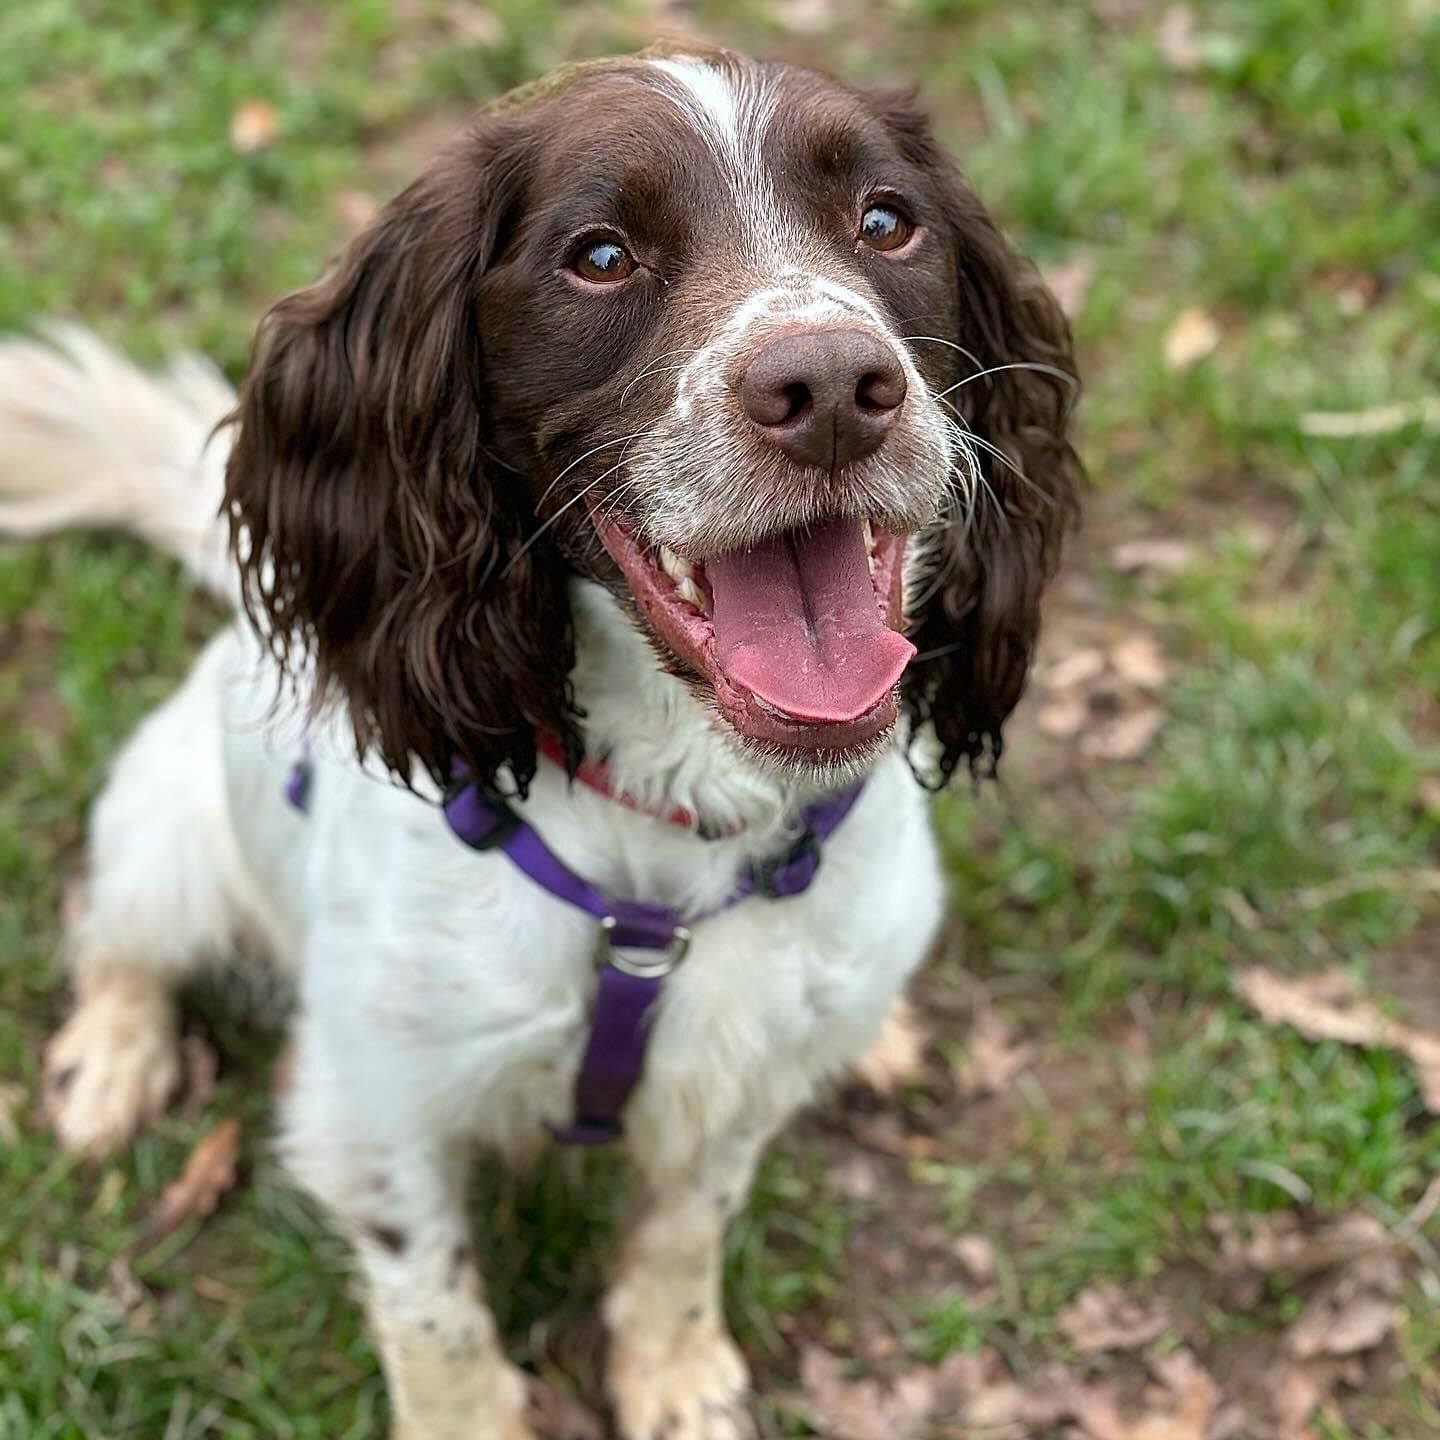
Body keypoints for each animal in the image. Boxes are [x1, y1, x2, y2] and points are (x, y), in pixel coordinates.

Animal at [0, 45, 1082, 1440]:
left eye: (887, 221)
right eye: (600, 255)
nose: (837, 390)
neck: (681, 825)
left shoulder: (733, 1079)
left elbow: (685, 1228)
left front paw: (675, 1375)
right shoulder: (379, 1102)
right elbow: (437, 1318)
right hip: (167, 831)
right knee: (119, 936)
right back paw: (115, 1060)